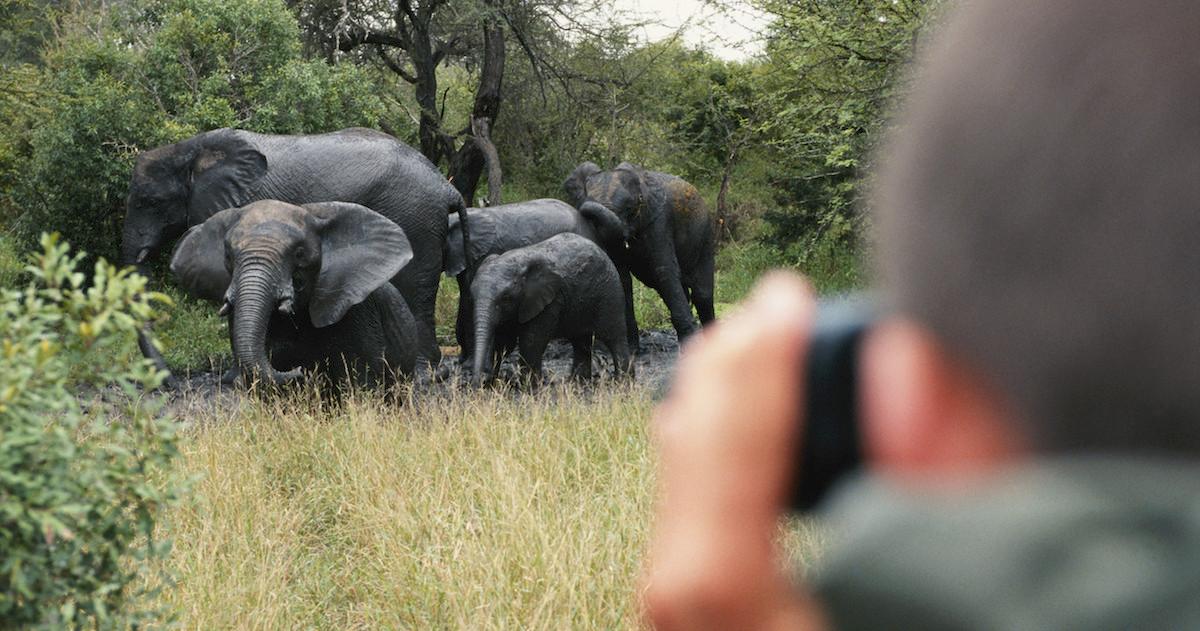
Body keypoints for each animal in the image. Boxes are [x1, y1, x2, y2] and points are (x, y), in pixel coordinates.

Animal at [470, 233, 633, 386]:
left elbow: (531, 342)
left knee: (614, 338)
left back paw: (623, 382)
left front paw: (529, 388)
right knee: (581, 343)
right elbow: (502, 343)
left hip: (609, 293)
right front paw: (493, 384)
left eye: (506, 297)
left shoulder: (550, 302)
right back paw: (578, 383)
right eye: (472, 294)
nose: (477, 384)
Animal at [561, 161, 710, 350]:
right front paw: (633, 350)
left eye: (630, 207)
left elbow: (664, 271)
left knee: (702, 294)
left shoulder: (659, 220)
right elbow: (620, 276)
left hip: (705, 235)